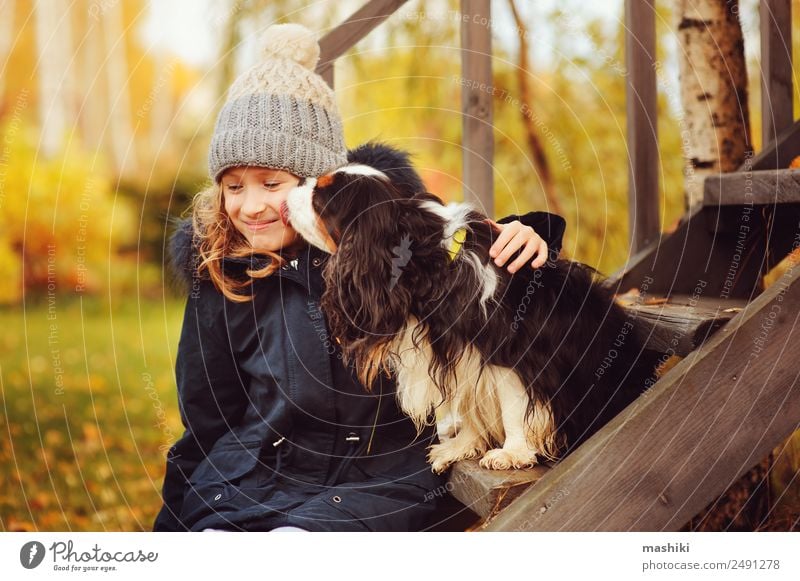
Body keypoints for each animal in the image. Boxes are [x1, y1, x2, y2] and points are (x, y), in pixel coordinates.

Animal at [284, 162, 660, 472]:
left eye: (321, 196)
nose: (296, 182)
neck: (431, 265)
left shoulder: (508, 352)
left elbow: (512, 406)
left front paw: (512, 452)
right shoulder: (460, 355)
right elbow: (467, 402)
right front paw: (463, 445)